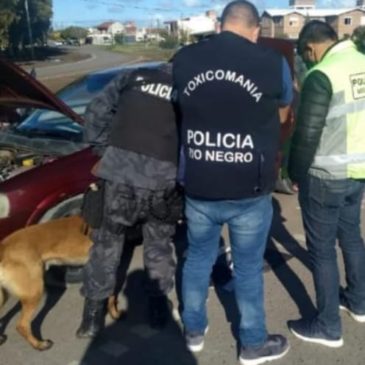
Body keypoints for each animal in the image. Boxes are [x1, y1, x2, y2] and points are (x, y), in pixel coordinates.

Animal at [0, 216, 121, 350]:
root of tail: (4, 246)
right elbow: (112, 294)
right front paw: (115, 314)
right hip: (35, 292)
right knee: (22, 325)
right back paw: (40, 345)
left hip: (5, 297)